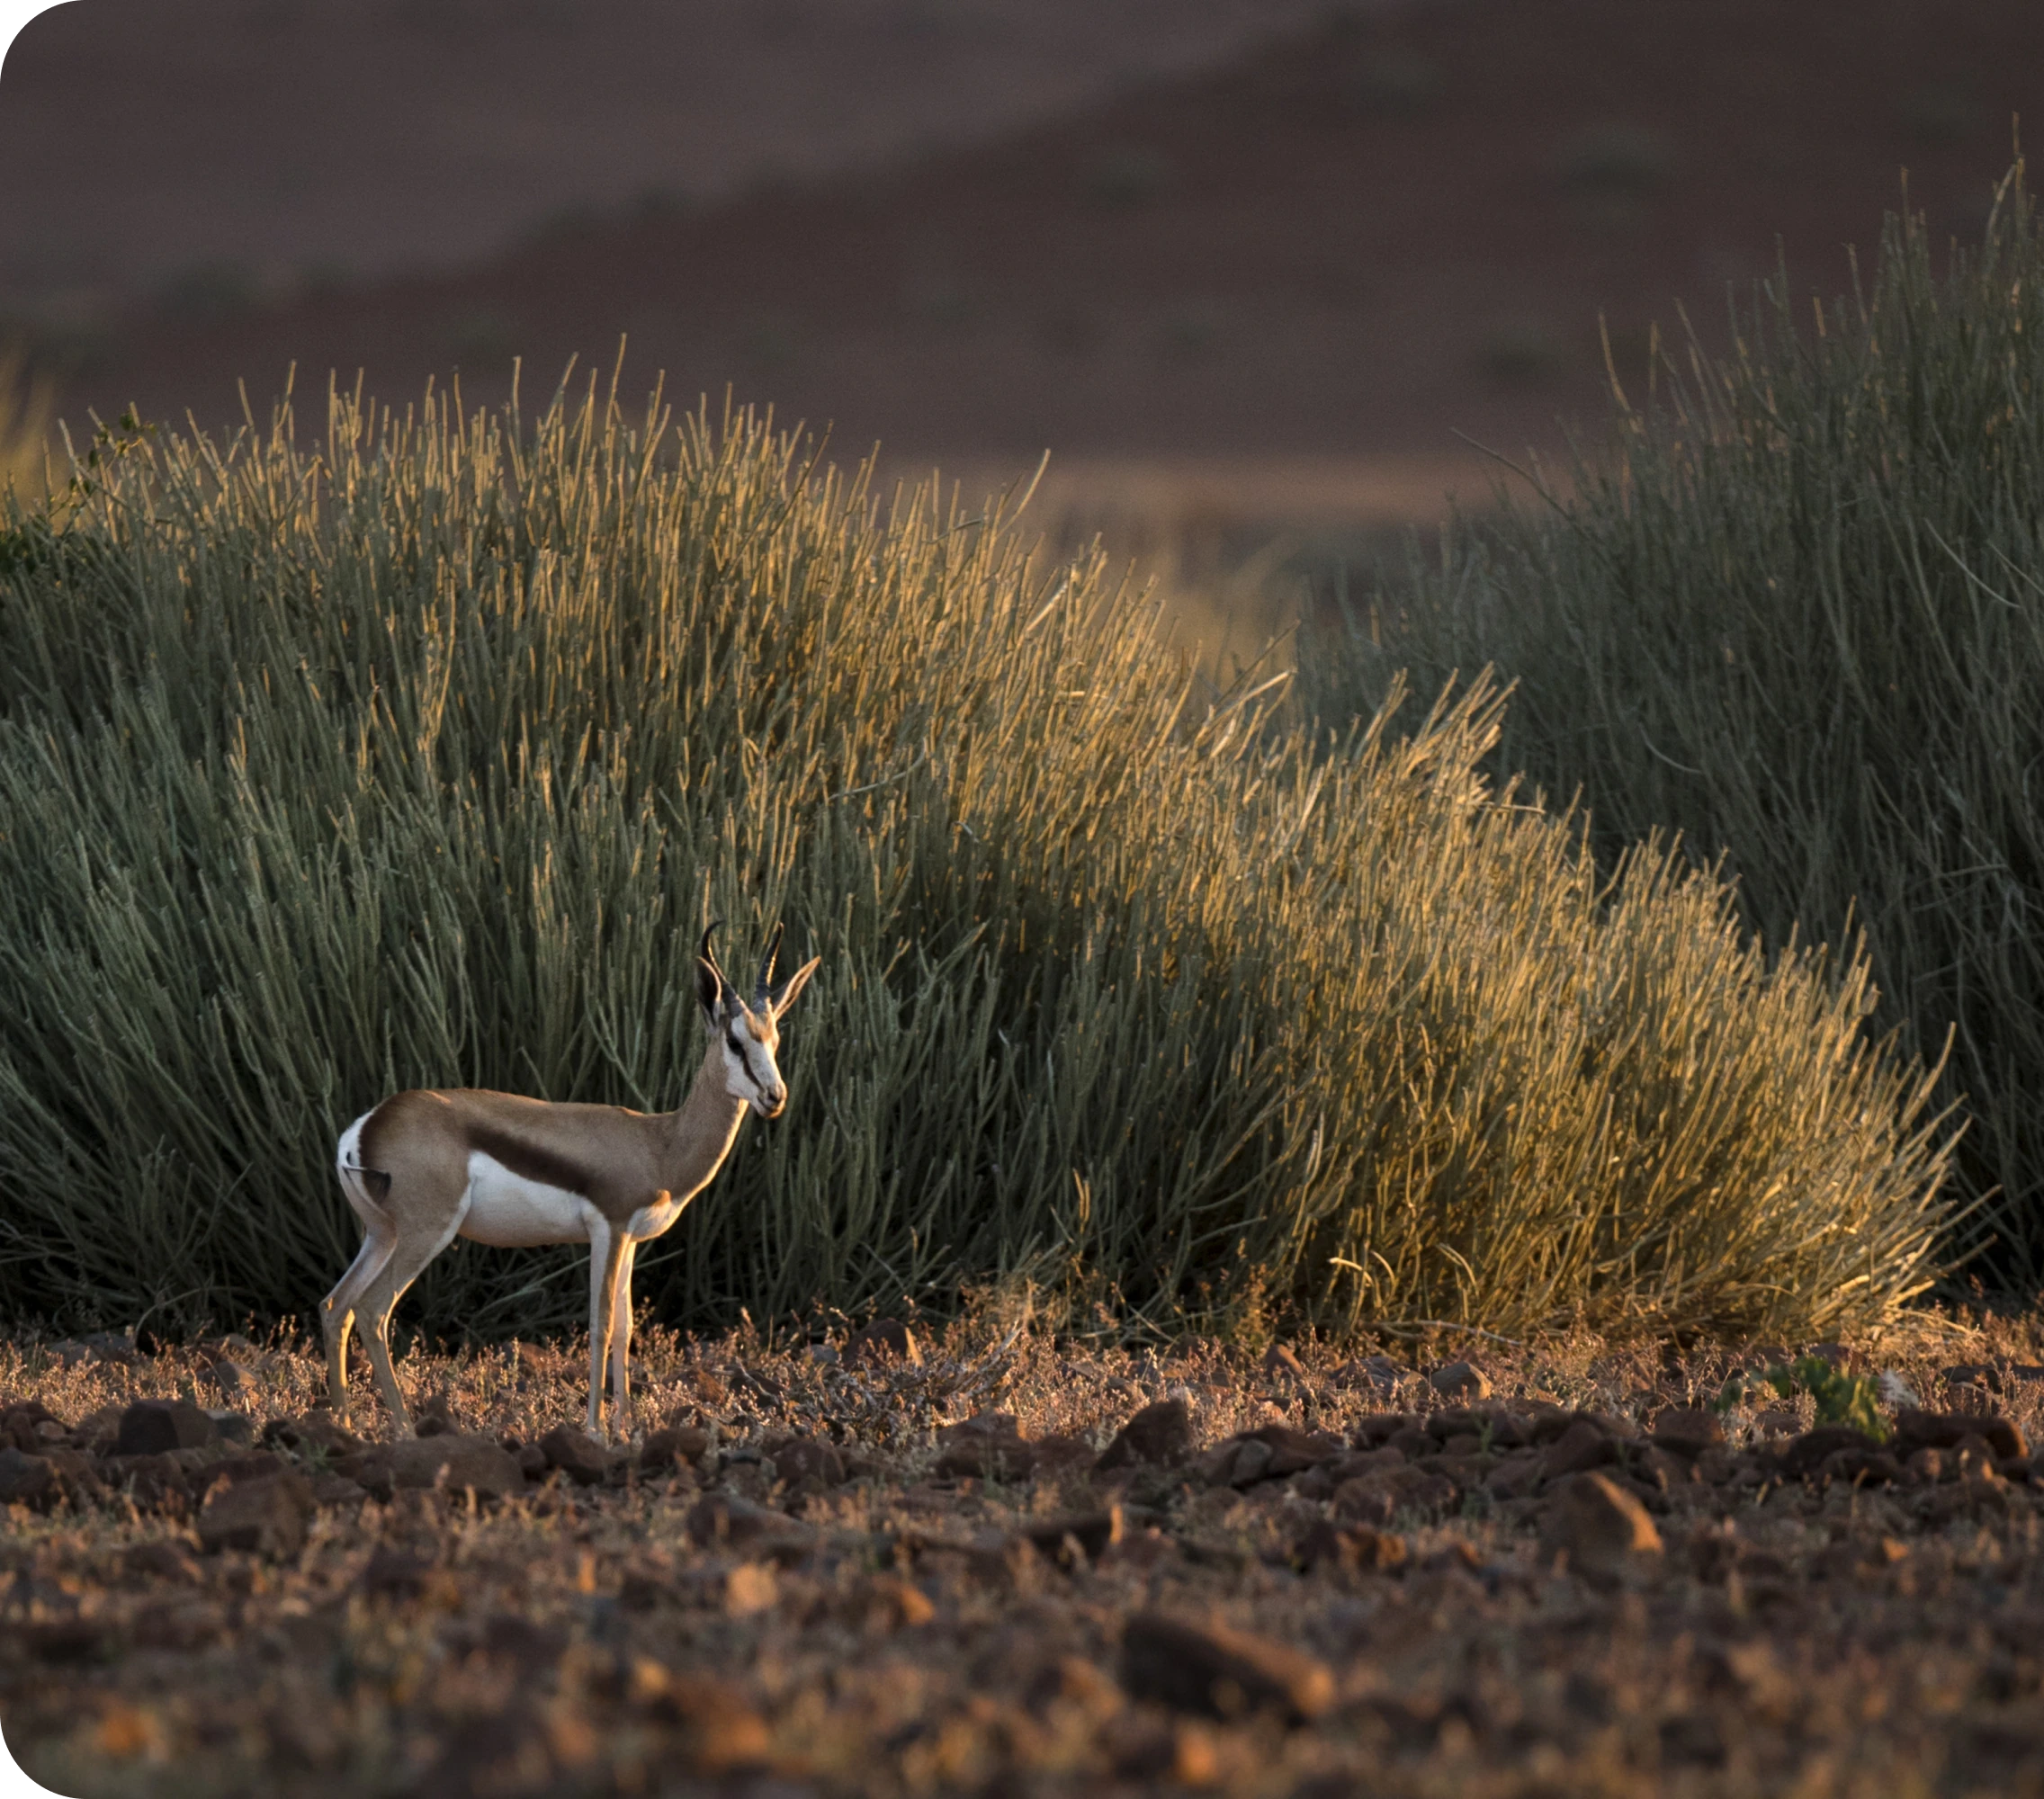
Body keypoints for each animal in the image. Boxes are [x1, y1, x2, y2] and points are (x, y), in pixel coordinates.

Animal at [320, 923, 818, 1438]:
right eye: (735, 1042)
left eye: (774, 1039)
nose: (774, 1096)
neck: (658, 1144)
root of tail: (367, 1126)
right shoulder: (609, 1229)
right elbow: (600, 1324)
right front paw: (596, 1429)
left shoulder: (630, 1240)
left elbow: (626, 1327)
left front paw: (626, 1427)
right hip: (425, 1233)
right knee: (373, 1310)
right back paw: (403, 1429)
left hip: (382, 1234)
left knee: (336, 1306)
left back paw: (342, 1423)